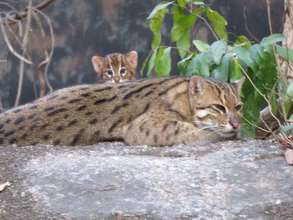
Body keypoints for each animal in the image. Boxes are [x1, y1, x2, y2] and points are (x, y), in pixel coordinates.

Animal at [0, 75, 242, 146]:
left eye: (238, 107)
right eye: (219, 107)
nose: (237, 123)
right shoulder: (146, 126)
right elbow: (194, 131)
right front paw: (222, 134)